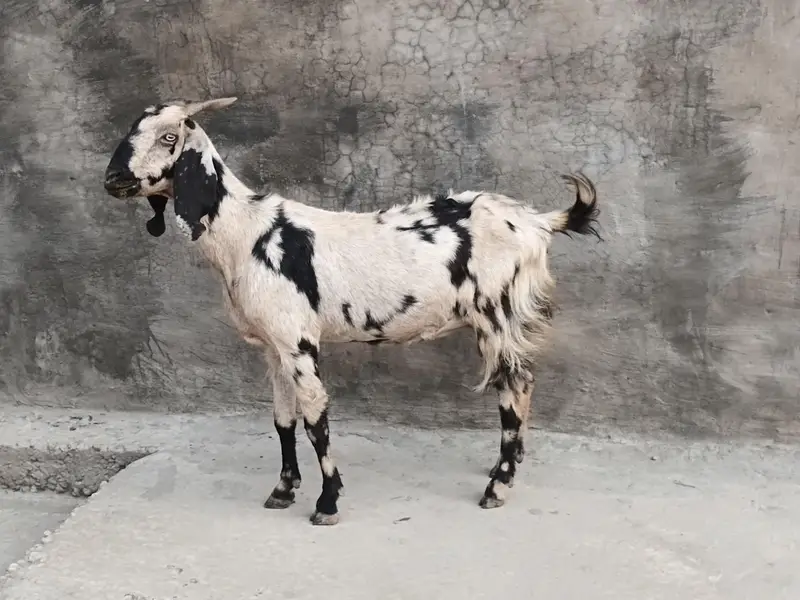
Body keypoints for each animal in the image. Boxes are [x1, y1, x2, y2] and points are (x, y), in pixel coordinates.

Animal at [103, 97, 600, 526]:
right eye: (132, 130)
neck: (246, 233)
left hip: (499, 313)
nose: (112, 179)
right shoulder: (272, 346)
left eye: (169, 137)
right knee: (522, 384)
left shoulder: (298, 340)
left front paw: (327, 502)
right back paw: (506, 466)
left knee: (514, 387)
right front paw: (283, 490)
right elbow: (283, 419)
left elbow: (315, 419)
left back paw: (498, 485)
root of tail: (537, 222)